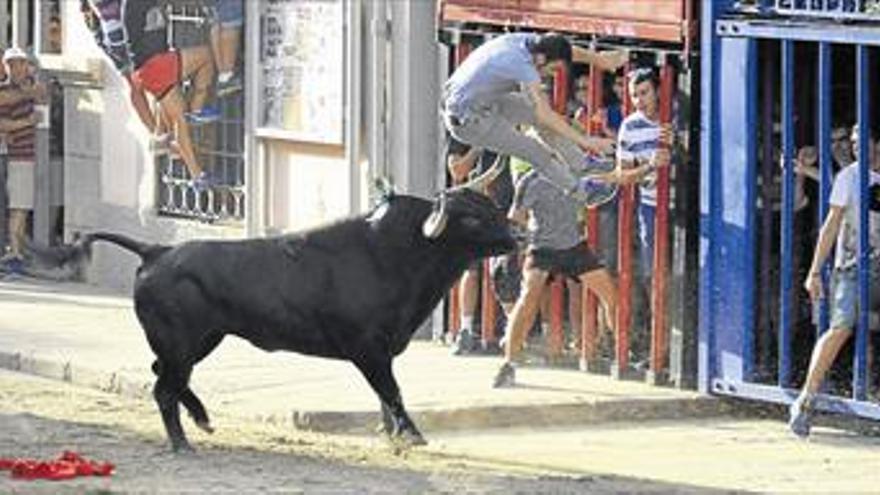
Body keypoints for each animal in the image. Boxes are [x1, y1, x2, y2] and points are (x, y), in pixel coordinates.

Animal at [46, 189, 516, 450]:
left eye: (491, 206)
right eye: (471, 216)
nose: (516, 236)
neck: (396, 252)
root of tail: (157, 251)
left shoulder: (381, 352)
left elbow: (386, 398)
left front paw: (395, 436)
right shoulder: (369, 350)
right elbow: (392, 392)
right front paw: (412, 434)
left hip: (202, 340)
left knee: (163, 374)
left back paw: (202, 419)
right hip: (182, 342)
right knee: (165, 387)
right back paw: (183, 443)